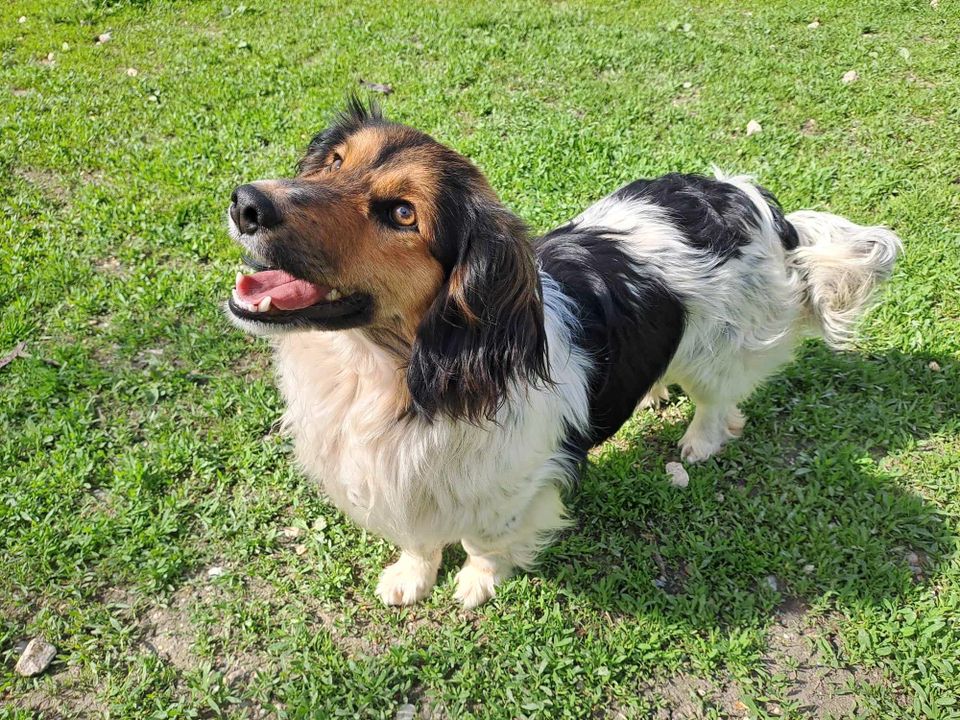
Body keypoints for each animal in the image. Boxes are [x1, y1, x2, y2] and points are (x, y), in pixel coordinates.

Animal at [225, 100, 900, 608]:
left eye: (401, 214)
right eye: (334, 162)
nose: (245, 202)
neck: (389, 372)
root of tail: (746, 196)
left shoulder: (512, 486)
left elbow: (485, 543)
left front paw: (475, 585)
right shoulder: (408, 483)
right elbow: (419, 539)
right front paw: (410, 577)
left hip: (722, 348)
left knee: (719, 401)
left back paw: (699, 442)